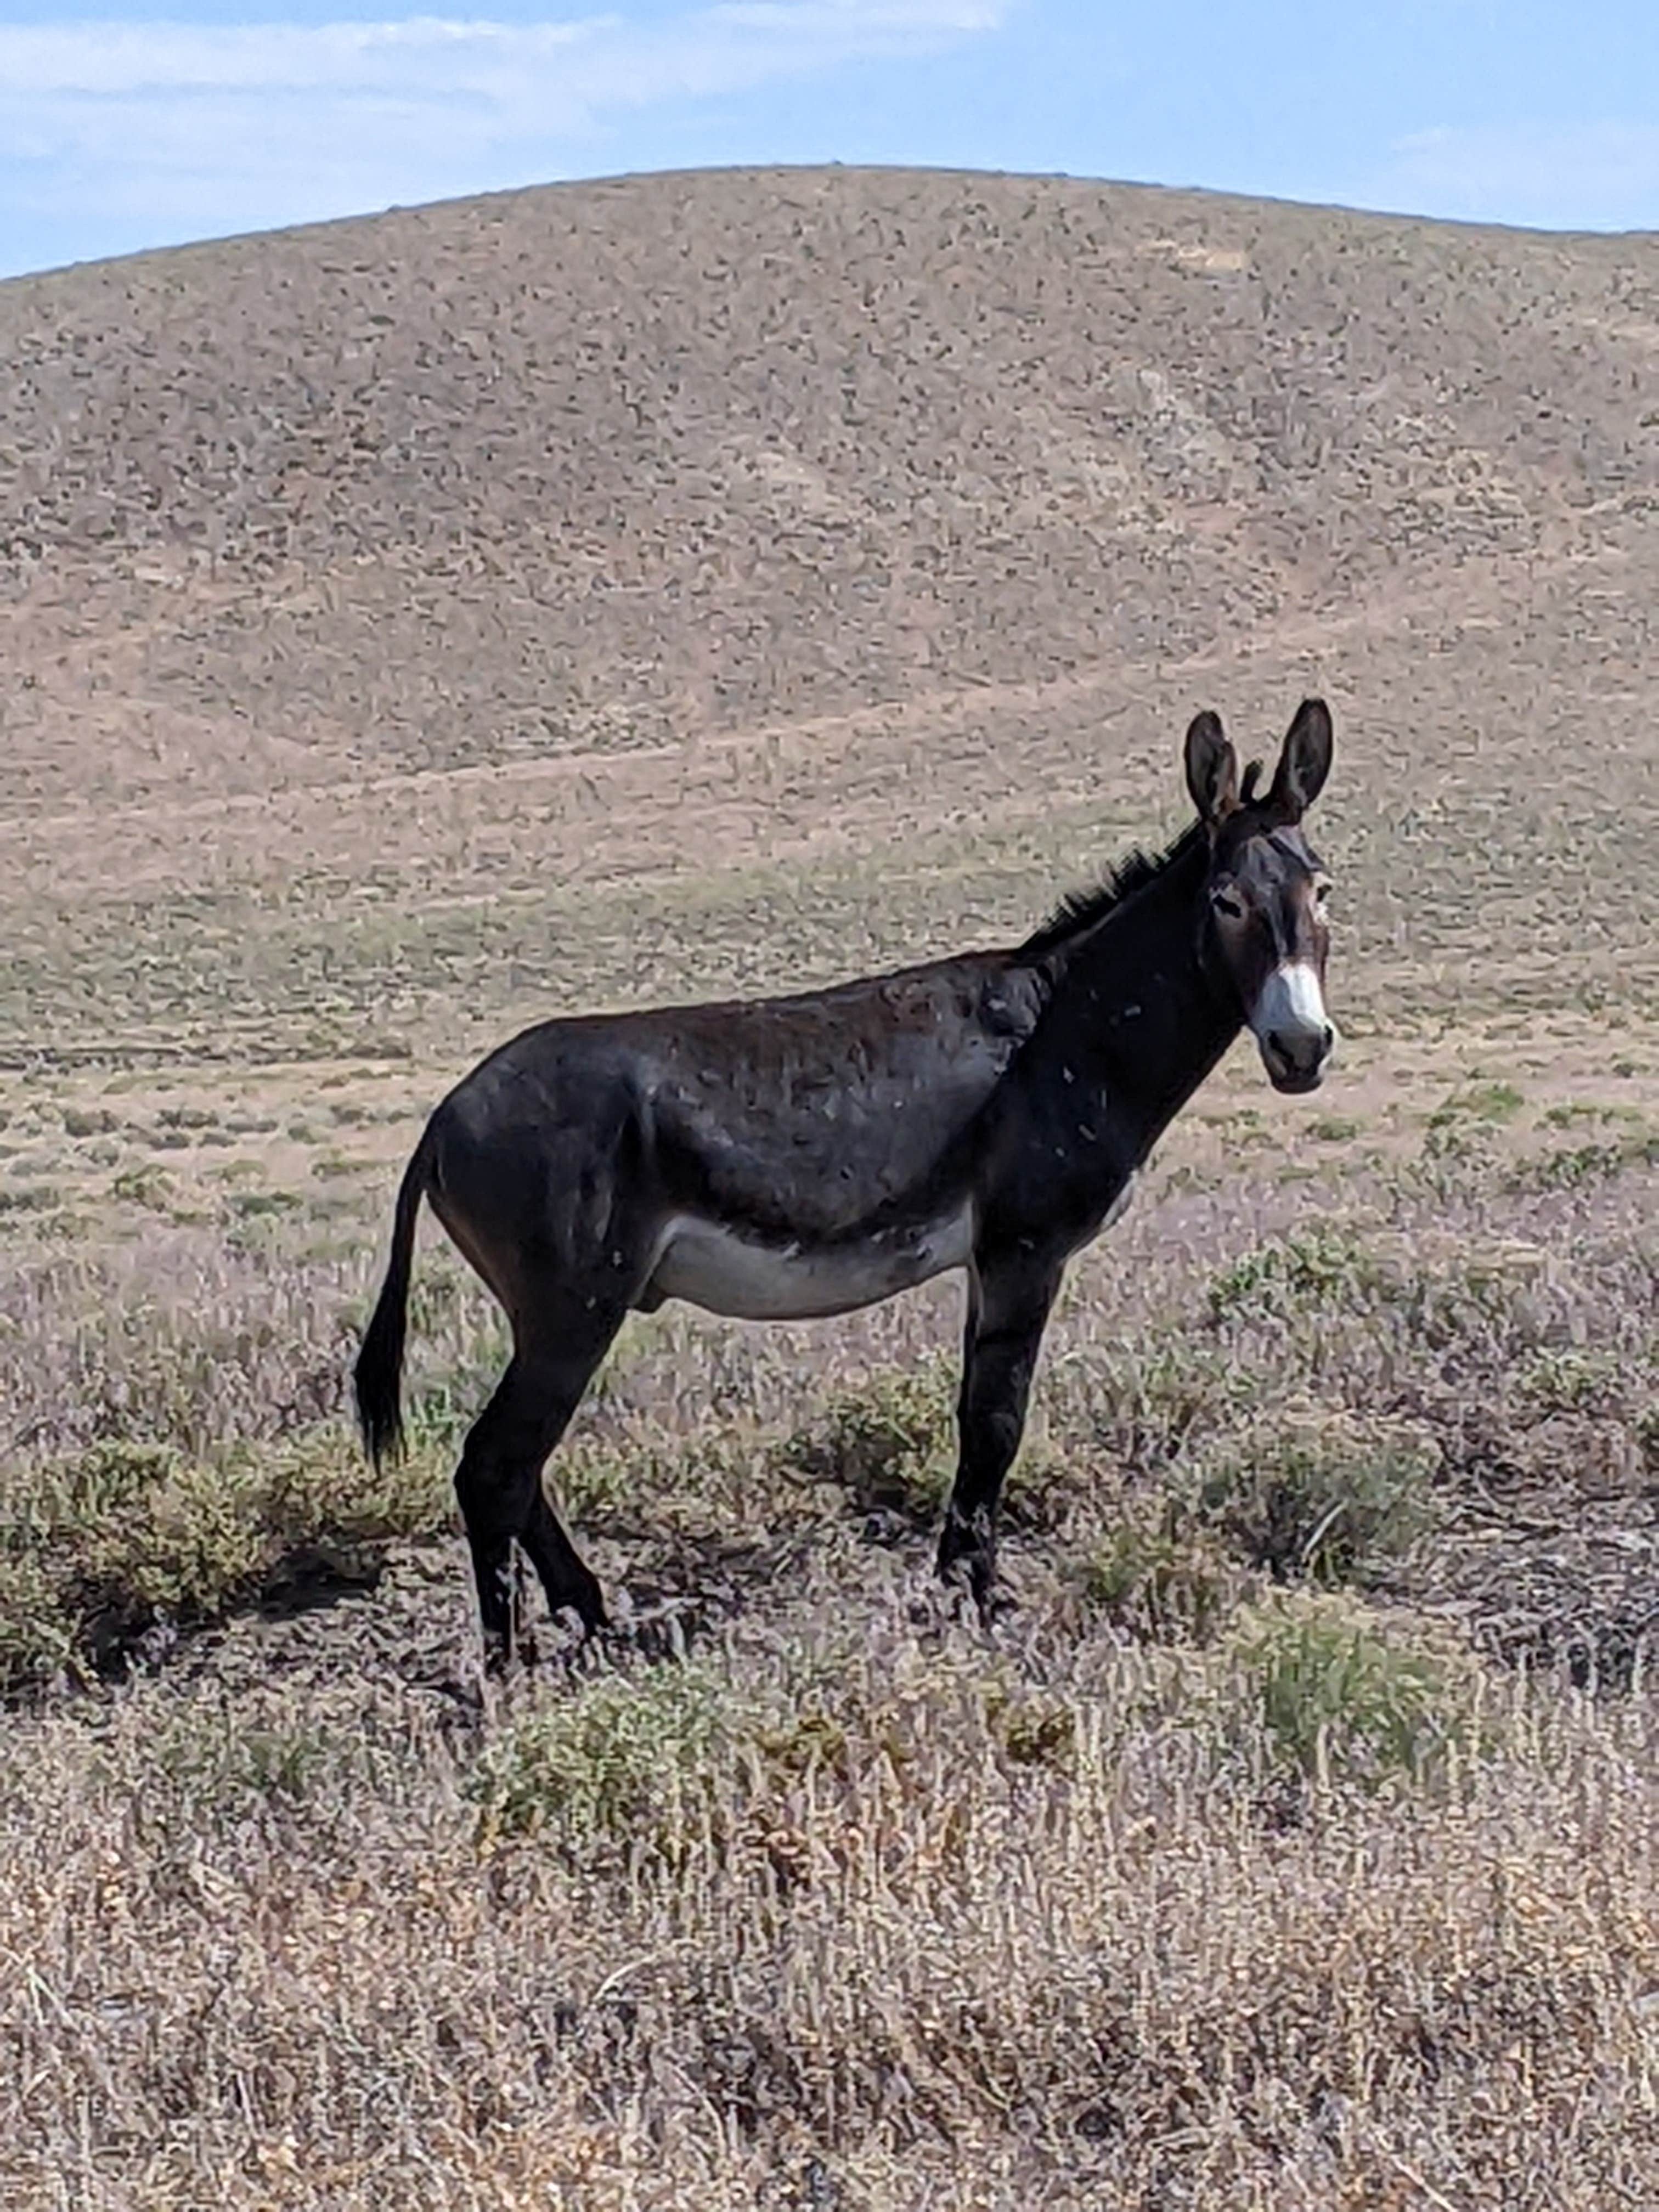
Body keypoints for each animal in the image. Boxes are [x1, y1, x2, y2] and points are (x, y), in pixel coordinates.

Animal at [356, 699, 1337, 1667]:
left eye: (1323, 891)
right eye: (1227, 901)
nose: (1303, 1049)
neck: (1070, 1030)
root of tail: (444, 1116)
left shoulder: (986, 1261)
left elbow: (972, 1417)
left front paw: (958, 1587)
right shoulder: (1025, 1249)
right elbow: (997, 1424)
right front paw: (981, 1603)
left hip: (558, 1314)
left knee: (517, 1469)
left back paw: (594, 1622)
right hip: (573, 1308)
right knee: (496, 1466)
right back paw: (506, 1666)